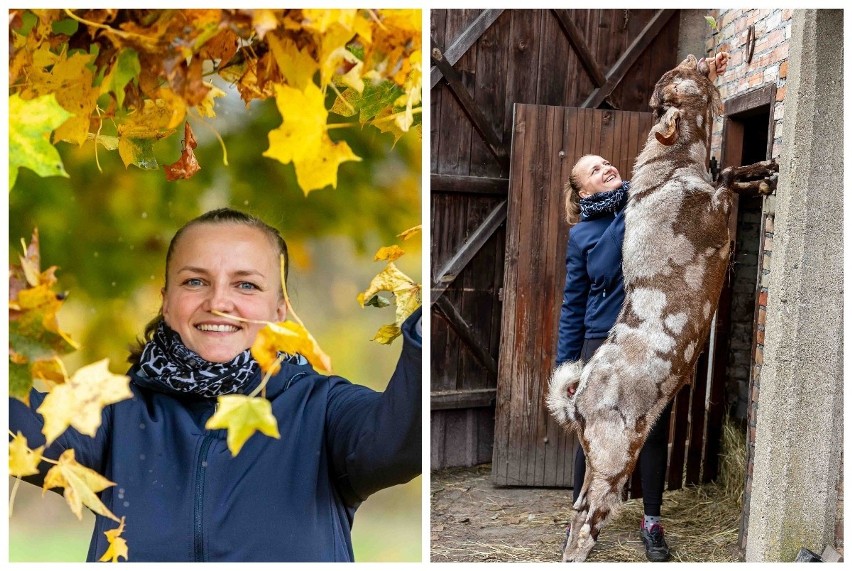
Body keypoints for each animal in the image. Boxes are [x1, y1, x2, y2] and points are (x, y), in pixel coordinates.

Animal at [544, 53, 780, 564]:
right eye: (676, 79)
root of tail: (577, 404)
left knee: (576, 515)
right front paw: (764, 177)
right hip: (614, 459)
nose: (695, 58)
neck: (673, 169)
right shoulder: (712, 217)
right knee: (586, 524)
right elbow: (728, 183)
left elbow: (729, 171)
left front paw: (767, 166)